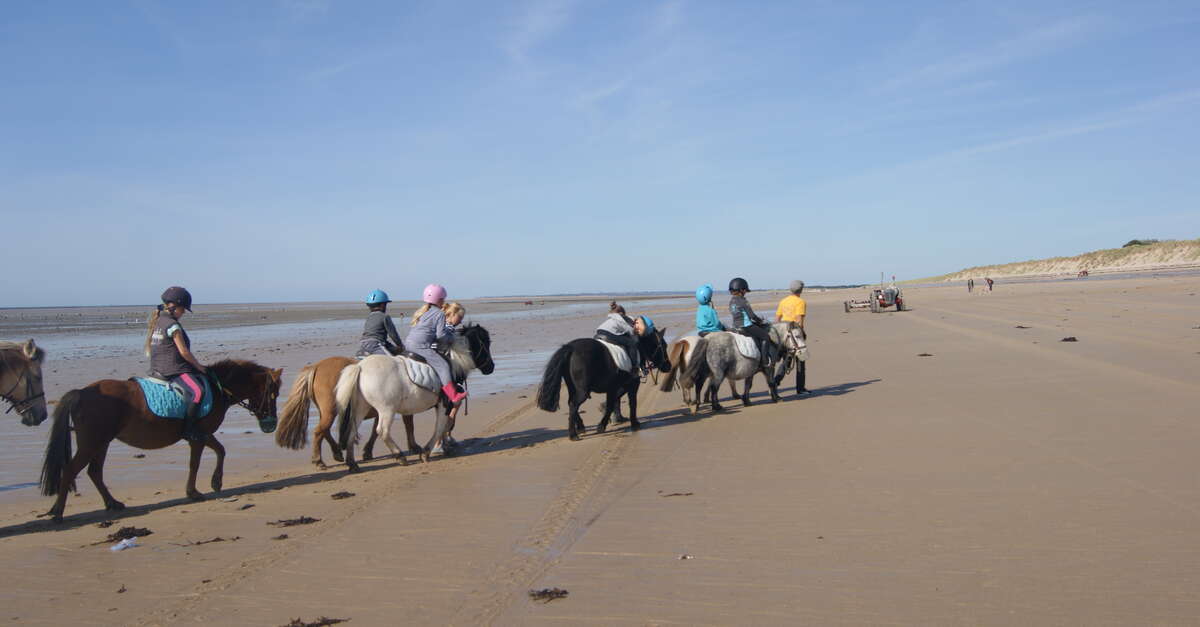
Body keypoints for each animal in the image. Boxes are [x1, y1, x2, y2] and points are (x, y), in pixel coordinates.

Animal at [38, 357, 283, 518]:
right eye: (273, 393)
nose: (271, 423)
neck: (218, 387)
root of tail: (82, 392)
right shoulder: (198, 435)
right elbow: (195, 463)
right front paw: (194, 492)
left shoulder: (203, 434)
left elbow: (221, 450)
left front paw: (216, 482)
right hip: (92, 443)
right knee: (71, 469)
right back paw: (58, 511)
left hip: (102, 443)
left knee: (94, 472)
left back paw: (112, 503)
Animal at [331, 321, 489, 468]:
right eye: (486, 343)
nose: (491, 367)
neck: (453, 361)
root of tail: (360, 367)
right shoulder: (445, 404)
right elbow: (441, 426)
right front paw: (427, 452)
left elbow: (445, 425)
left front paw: (445, 447)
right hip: (387, 409)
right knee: (382, 431)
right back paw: (400, 456)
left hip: (361, 408)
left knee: (352, 431)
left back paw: (352, 464)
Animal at [537, 326, 672, 439]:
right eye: (663, 346)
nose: (668, 366)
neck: (638, 349)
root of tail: (570, 348)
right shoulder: (632, 385)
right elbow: (631, 403)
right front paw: (634, 424)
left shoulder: (614, 387)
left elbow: (611, 404)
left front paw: (606, 422)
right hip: (582, 391)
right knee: (573, 405)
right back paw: (573, 434)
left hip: (573, 387)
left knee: (571, 404)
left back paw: (580, 427)